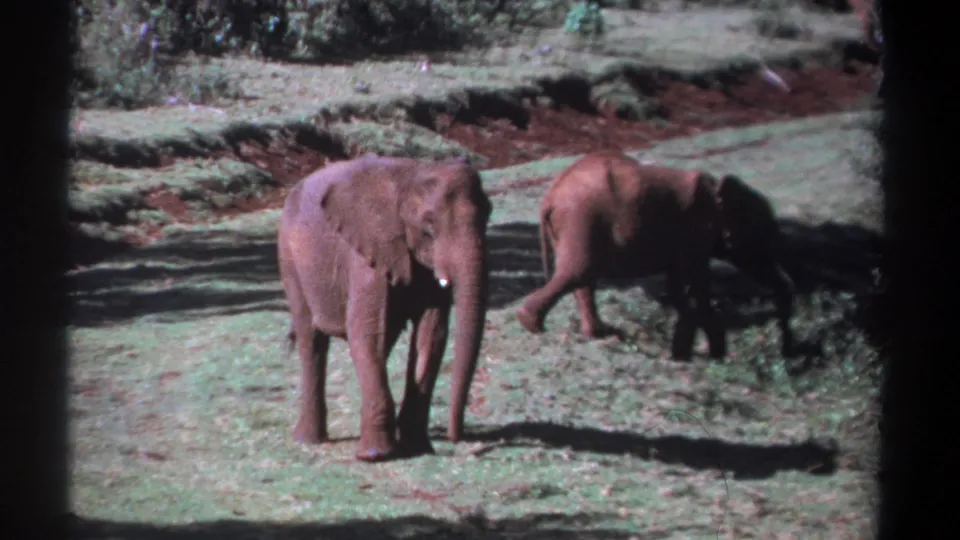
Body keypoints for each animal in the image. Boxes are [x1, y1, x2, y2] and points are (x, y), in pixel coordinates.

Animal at [277, 153, 493, 462]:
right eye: (428, 226)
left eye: (488, 214)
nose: (456, 438)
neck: (412, 175)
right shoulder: (366, 251)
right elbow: (364, 331)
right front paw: (375, 455)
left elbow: (432, 334)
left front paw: (417, 448)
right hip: (290, 259)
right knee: (312, 341)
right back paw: (309, 440)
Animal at [514, 150, 796, 361]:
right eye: (761, 232)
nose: (788, 353)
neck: (718, 189)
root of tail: (550, 196)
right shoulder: (695, 232)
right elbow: (696, 285)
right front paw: (711, 355)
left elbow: (680, 289)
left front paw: (687, 354)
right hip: (581, 218)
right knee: (577, 271)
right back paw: (532, 323)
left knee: (581, 277)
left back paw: (598, 333)